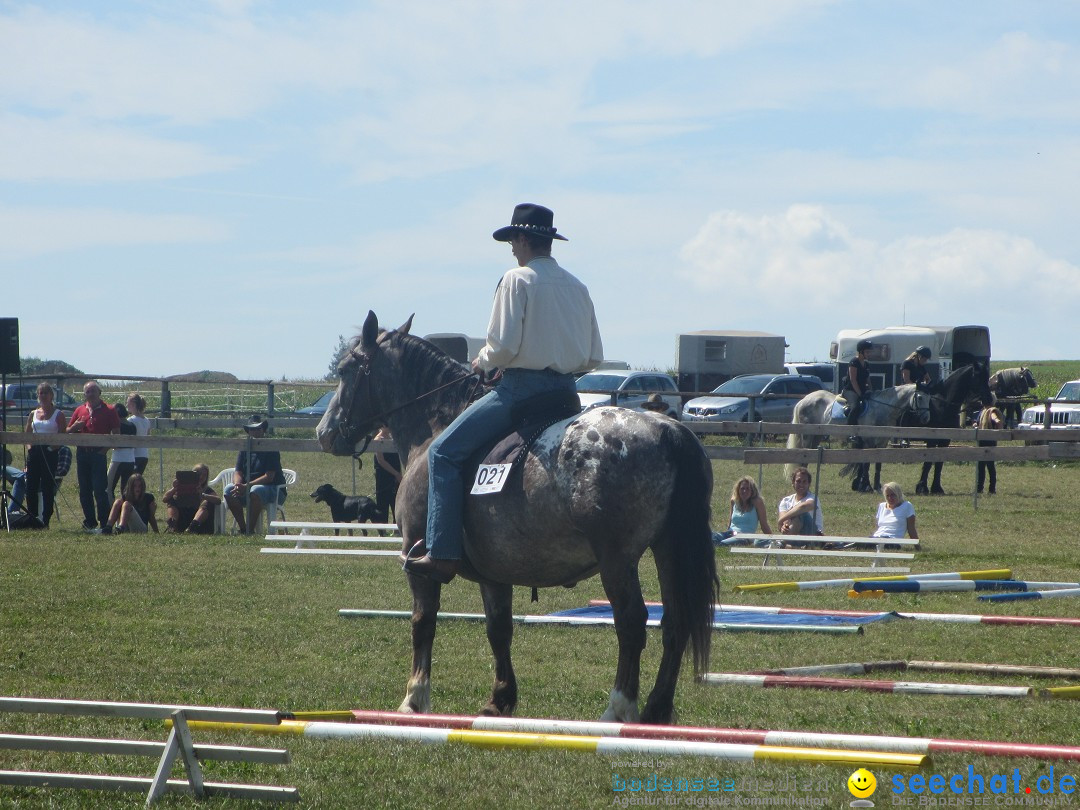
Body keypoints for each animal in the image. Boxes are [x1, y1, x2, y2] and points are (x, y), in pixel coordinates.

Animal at [313, 313, 717, 725]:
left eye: (345, 370)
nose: (324, 432)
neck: (434, 428)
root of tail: (667, 429)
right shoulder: (495, 572)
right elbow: (499, 630)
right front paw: (500, 699)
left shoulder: (418, 563)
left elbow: (423, 622)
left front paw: (414, 699)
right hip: (668, 549)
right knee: (674, 623)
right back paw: (656, 709)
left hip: (617, 561)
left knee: (632, 623)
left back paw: (618, 709)